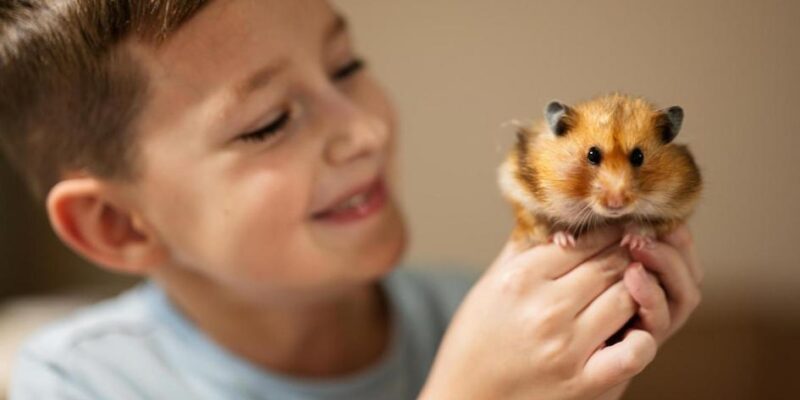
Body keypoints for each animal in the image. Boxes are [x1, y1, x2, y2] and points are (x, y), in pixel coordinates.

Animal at [498, 93, 702, 249]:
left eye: (638, 156)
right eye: (592, 154)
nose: (616, 204)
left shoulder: (680, 207)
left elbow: (652, 226)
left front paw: (633, 241)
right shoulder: (520, 192)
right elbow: (538, 224)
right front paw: (564, 241)